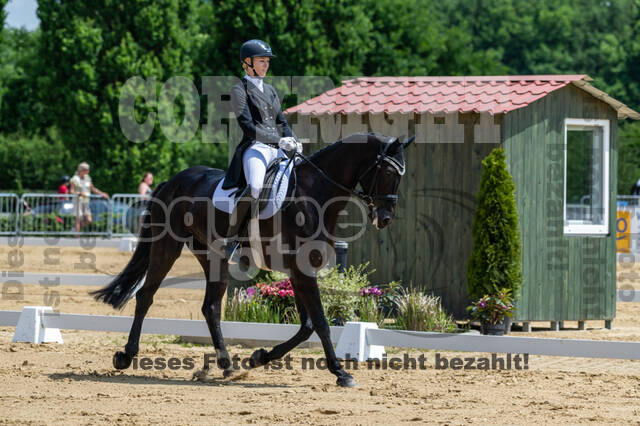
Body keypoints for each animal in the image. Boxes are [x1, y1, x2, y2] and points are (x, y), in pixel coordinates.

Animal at [91, 132, 415, 387]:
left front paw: (259, 357)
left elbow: (307, 325)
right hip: (166, 247)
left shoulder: (299, 271)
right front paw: (341, 374)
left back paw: (227, 366)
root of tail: (173, 180)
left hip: (212, 257)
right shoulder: (302, 271)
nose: (384, 218)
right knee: (145, 296)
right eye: (388, 173)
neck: (313, 195)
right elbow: (321, 323)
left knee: (210, 307)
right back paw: (126, 356)